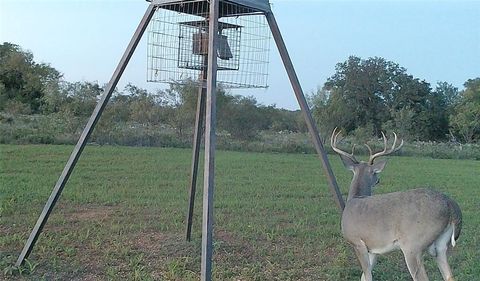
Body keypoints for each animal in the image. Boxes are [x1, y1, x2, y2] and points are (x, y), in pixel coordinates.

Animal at [332, 129, 464, 280]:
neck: (354, 199)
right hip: (441, 245)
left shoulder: (358, 242)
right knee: (449, 275)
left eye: (374, 172)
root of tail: (450, 204)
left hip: (412, 245)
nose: (378, 180)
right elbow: (364, 276)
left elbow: (367, 276)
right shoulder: (373, 250)